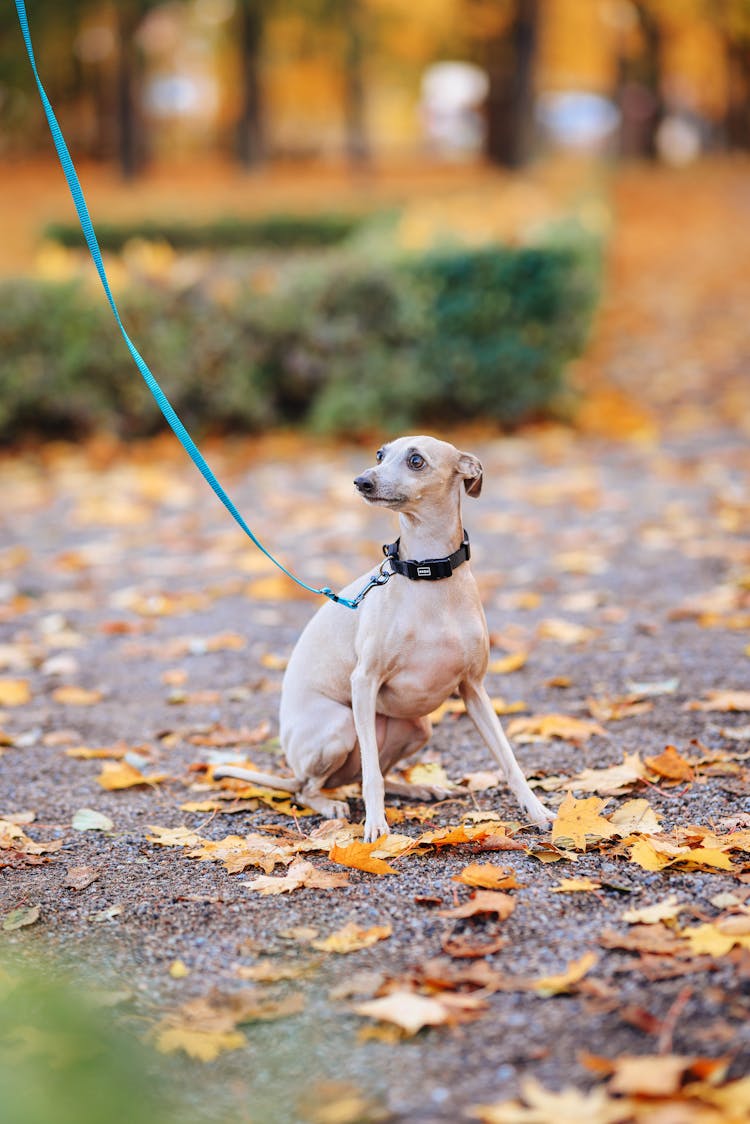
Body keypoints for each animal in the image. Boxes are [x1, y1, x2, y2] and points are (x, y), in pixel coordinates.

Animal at [213, 433, 548, 840]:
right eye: (379, 455)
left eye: (416, 460)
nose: (361, 482)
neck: (427, 574)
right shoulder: (364, 682)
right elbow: (372, 776)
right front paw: (375, 827)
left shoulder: (474, 689)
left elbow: (509, 760)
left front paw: (538, 810)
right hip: (340, 727)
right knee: (313, 788)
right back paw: (330, 804)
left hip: (417, 727)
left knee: (364, 776)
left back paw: (418, 789)